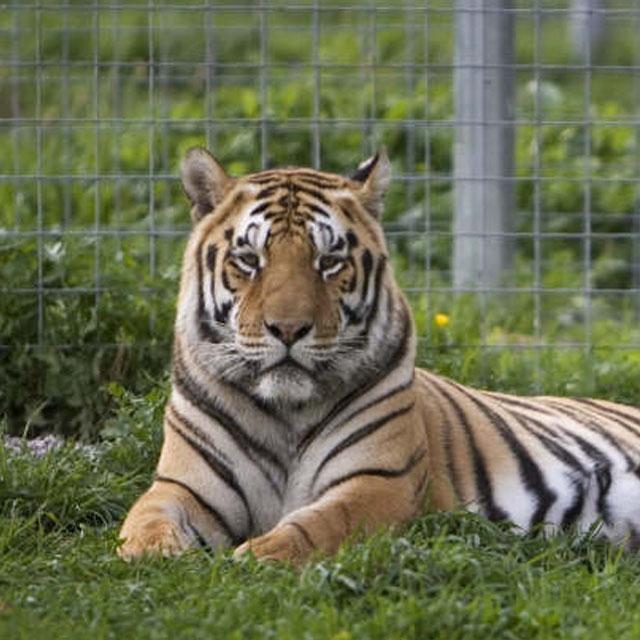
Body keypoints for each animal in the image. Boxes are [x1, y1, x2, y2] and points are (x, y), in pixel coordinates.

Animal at [118, 147, 640, 562]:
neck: (286, 412)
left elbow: (318, 524)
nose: (288, 329)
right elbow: (143, 519)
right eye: (249, 260)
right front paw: (154, 555)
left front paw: (256, 556)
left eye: (329, 262)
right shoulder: (183, 485)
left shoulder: (379, 481)